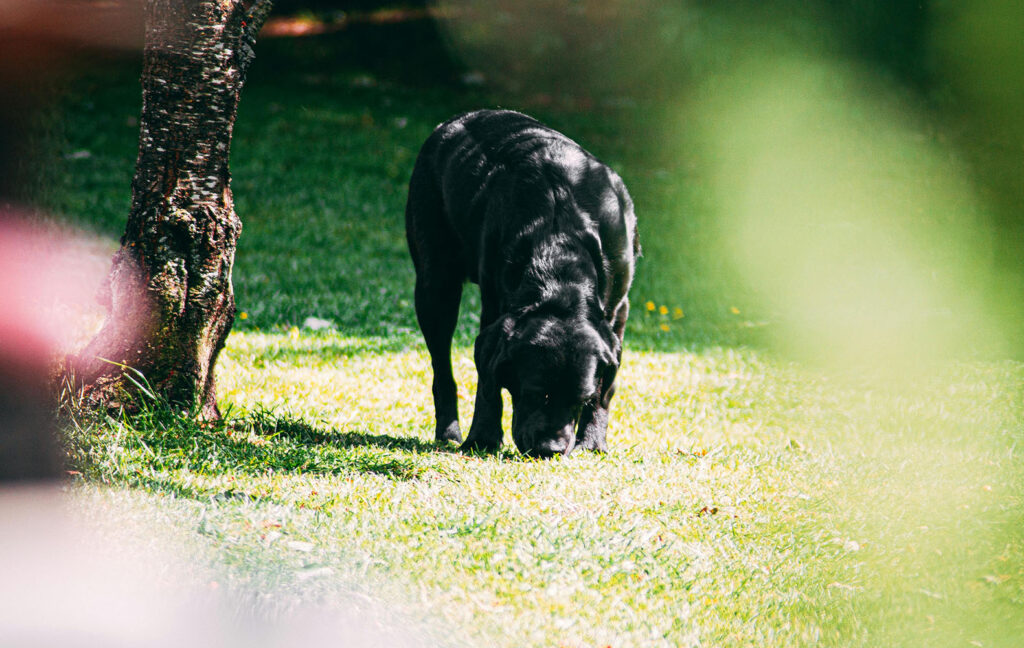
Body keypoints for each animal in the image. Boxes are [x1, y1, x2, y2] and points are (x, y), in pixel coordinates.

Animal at [403, 110, 634, 454]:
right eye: (534, 393)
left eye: (578, 399)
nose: (550, 449)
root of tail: (457, 119)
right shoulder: (493, 305)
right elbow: (487, 383)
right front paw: (482, 437)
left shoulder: (618, 309)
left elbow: (605, 390)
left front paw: (592, 442)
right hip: (435, 285)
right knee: (442, 370)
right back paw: (449, 432)